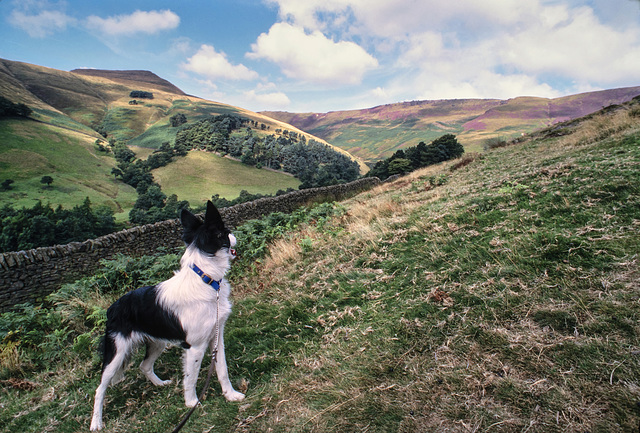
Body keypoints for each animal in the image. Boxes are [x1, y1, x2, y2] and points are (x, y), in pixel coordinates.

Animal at [91, 202, 246, 428]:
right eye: (226, 232)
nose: (235, 235)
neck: (206, 279)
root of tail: (112, 308)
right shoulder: (195, 346)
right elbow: (191, 377)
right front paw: (191, 403)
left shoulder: (216, 338)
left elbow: (222, 370)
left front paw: (230, 395)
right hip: (116, 353)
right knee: (100, 388)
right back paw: (96, 423)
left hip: (158, 342)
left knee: (144, 365)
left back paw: (159, 383)